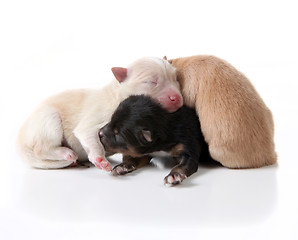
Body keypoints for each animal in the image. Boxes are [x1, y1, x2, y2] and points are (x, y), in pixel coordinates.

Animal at [17, 56, 183, 170]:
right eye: (151, 82)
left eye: (175, 79)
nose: (177, 98)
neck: (117, 95)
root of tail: (20, 144)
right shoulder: (95, 119)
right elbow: (90, 137)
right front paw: (100, 159)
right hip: (48, 119)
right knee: (41, 149)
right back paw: (66, 154)